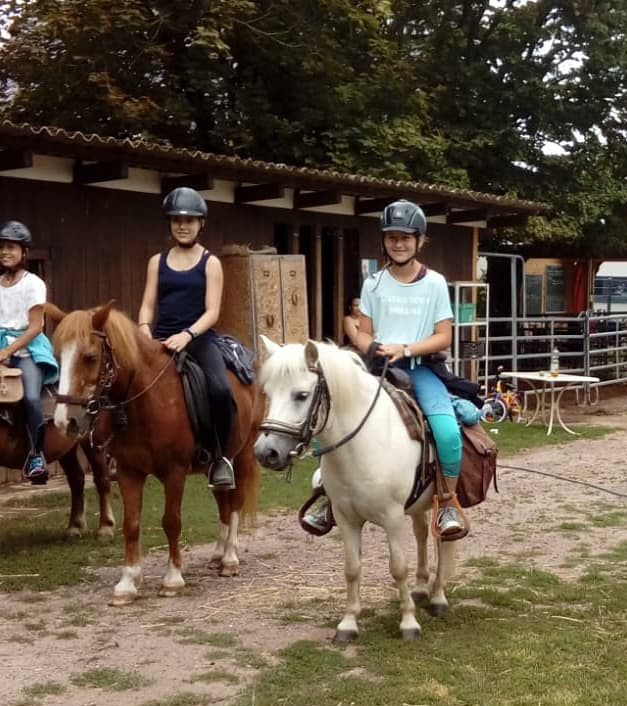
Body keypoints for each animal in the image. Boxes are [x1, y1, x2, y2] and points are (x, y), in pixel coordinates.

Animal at [51, 300, 262, 604]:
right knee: (223, 502)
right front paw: (127, 582)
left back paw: (230, 558)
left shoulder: (174, 473)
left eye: (90, 357)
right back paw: (217, 555)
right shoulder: (129, 472)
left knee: (234, 503)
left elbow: (171, 522)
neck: (145, 401)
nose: (64, 422)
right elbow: (131, 524)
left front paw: (172, 579)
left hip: (242, 455)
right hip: (215, 465)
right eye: (58, 357)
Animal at [255, 338, 456, 640]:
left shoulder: (392, 518)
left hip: (442, 501)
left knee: (442, 541)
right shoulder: (345, 517)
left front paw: (408, 623)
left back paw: (438, 598)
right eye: (267, 392)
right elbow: (351, 568)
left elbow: (398, 568)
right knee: (422, 534)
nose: (265, 453)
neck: (362, 444)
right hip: (418, 504)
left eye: (301, 395)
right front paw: (348, 623)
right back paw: (421, 589)